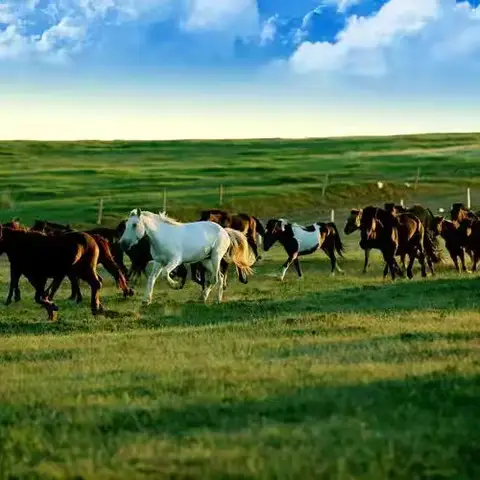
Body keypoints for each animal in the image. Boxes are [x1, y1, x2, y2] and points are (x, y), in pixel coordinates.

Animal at [119, 209, 255, 304]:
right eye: (126, 225)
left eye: (134, 225)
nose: (122, 244)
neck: (162, 236)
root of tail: (224, 230)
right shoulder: (158, 262)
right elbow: (152, 278)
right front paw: (146, 300)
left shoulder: (175, 261)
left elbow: (165, 274)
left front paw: (175, 285)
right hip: (206, 260)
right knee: (220, 277)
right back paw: (214, 299)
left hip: (215, 257)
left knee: (214, 279)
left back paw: (206, 298)